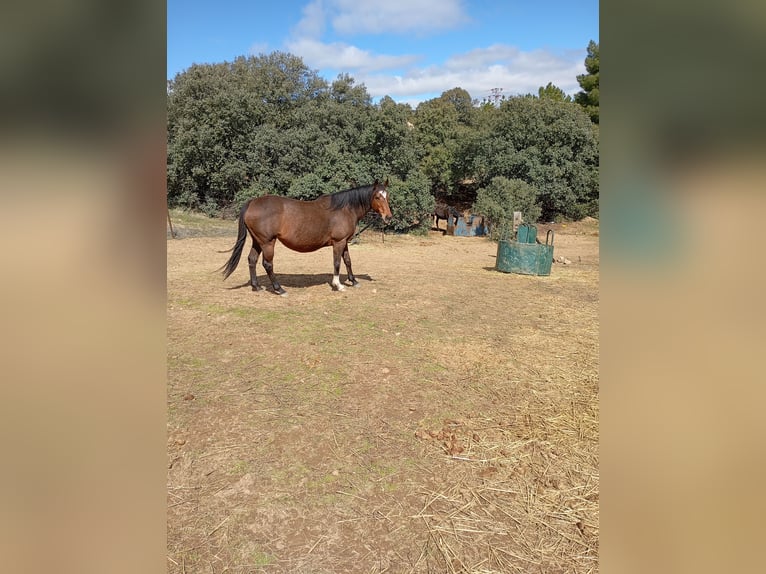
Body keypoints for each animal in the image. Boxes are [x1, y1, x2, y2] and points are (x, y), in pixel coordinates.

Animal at [219, 179, 392, 295]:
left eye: (387, 196)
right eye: (377, 197)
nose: (388, 217)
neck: (344, 209)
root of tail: (252, 202)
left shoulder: (344, 242)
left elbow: (348, 261)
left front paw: (354, 281)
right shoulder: (338, 242)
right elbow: (337, 263)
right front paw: (338, 285)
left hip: (257, 241)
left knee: (252, 260)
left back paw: (256, 287)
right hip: (267, 242)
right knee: (267, 264)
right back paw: (279, 289)